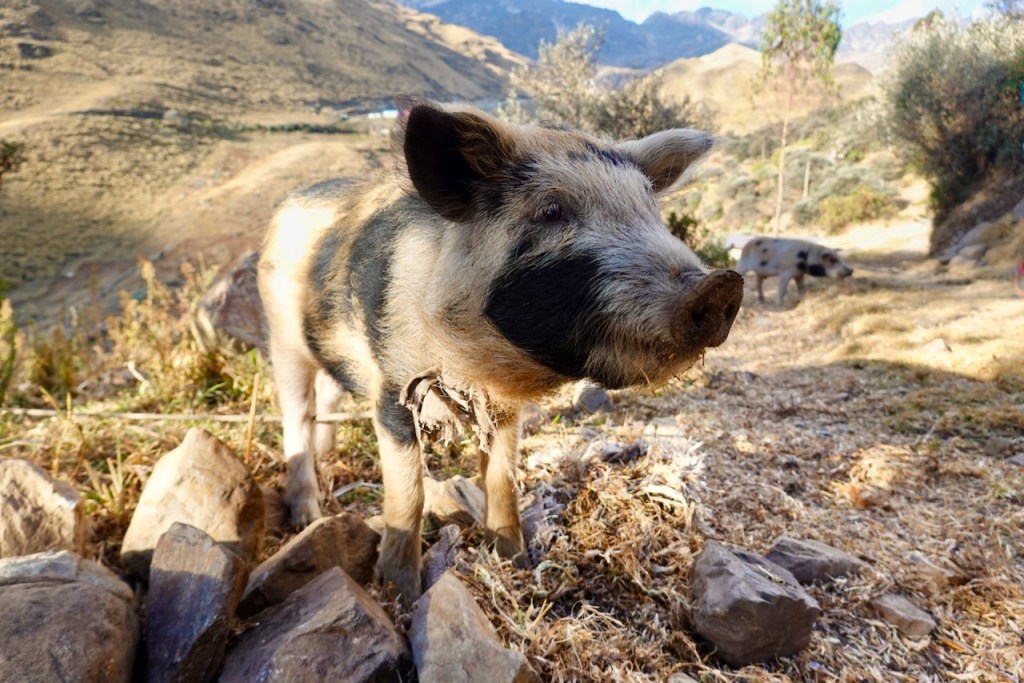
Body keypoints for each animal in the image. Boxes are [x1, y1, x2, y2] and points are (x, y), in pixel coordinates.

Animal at [257, 100, 744, 602]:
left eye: (650, 208)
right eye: (551, 211)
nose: (722, 285)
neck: (484, 368)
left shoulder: (506, 411)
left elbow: (502, 480)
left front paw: (515, 560)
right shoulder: (393, 386)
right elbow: (408, 493)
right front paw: (401, 592)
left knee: (327, 398)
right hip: (280, 334)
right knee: (296, 416)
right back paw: (309, 516)